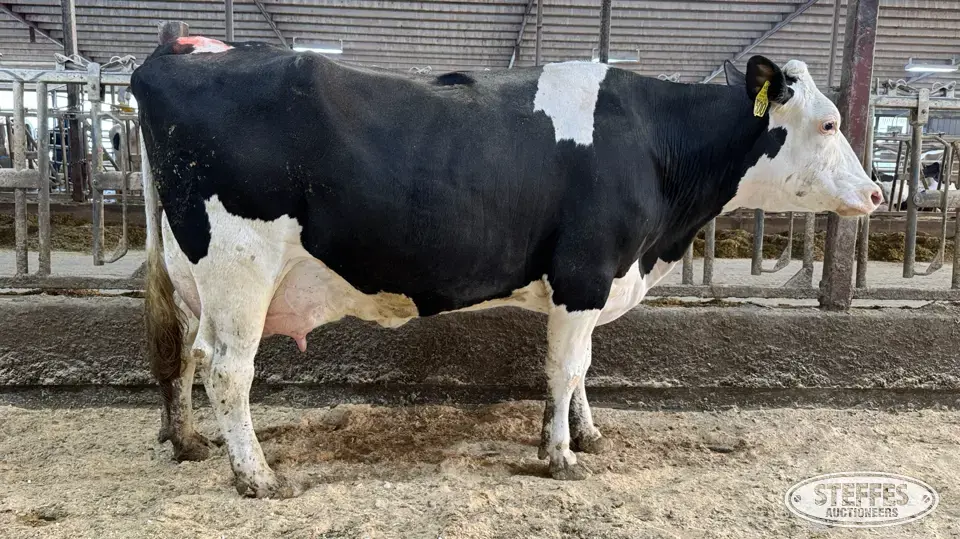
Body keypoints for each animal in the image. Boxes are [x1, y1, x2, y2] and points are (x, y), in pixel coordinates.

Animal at [131, 36, 884, 499]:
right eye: (827, 124)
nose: (876, 194)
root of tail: (170, 57)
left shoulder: (590, 283)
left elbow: (582, 367)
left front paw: (587, 433)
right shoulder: (584, 271)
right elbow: (565, 367)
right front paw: (561, 455)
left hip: (193, 273)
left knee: (185, 357)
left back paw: (191, 443)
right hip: (240, 266)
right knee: (227, 367)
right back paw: (256, 477)